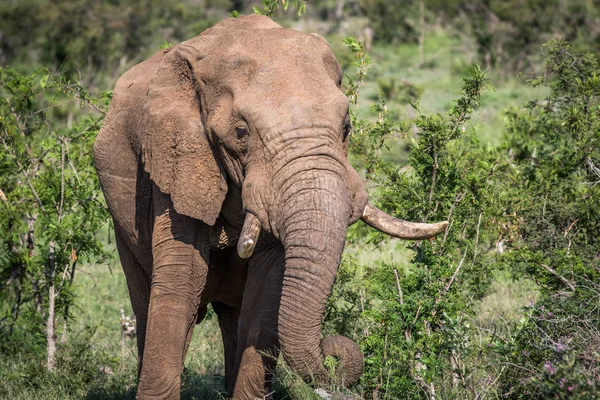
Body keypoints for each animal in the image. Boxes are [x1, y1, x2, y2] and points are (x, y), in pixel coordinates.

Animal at [94, 14, 448, 400]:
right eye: (241, 132)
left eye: (347, 126)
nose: (334, 353)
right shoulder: (175, 162)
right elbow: (181, 283)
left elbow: (265, 294)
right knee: (145, 304)